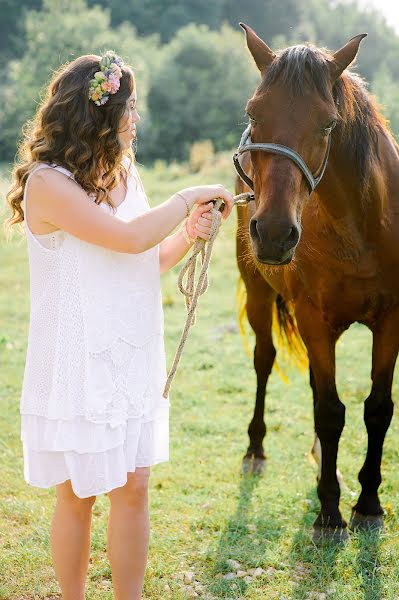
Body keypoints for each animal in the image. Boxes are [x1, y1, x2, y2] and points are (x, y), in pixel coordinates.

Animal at [234, 23, 399, 540]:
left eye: (328, 124)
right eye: (254, 113)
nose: (272, 233)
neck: (360, 226)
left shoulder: (391, 321)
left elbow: (376, 409)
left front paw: (368, 504)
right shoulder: (312, 316)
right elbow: (330, 412)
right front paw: (329, 513)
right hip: (258, 294)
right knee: (264, 361)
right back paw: (255, 448)